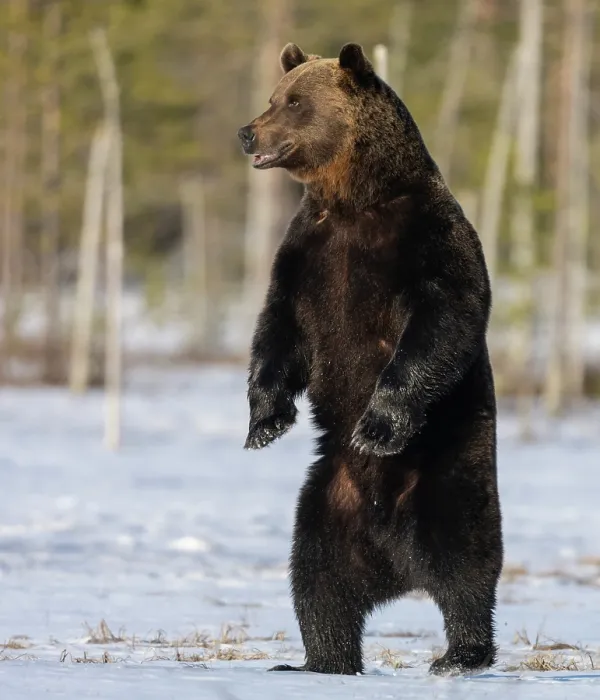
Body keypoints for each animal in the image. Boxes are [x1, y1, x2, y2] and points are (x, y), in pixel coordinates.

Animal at [238, 42, 503, 676]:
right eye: (275, 97)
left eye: (294, 102)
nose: (247, 132)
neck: (354, 198)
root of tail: (396, 563)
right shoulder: (307, 252)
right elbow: (278, 327)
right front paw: (265, 421)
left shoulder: (426, 238)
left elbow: (444, 316)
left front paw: (378, 425)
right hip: (327, 501)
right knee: (318, 580)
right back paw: (319, 659)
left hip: (449, 467)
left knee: (465, 562)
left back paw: (461, 653)